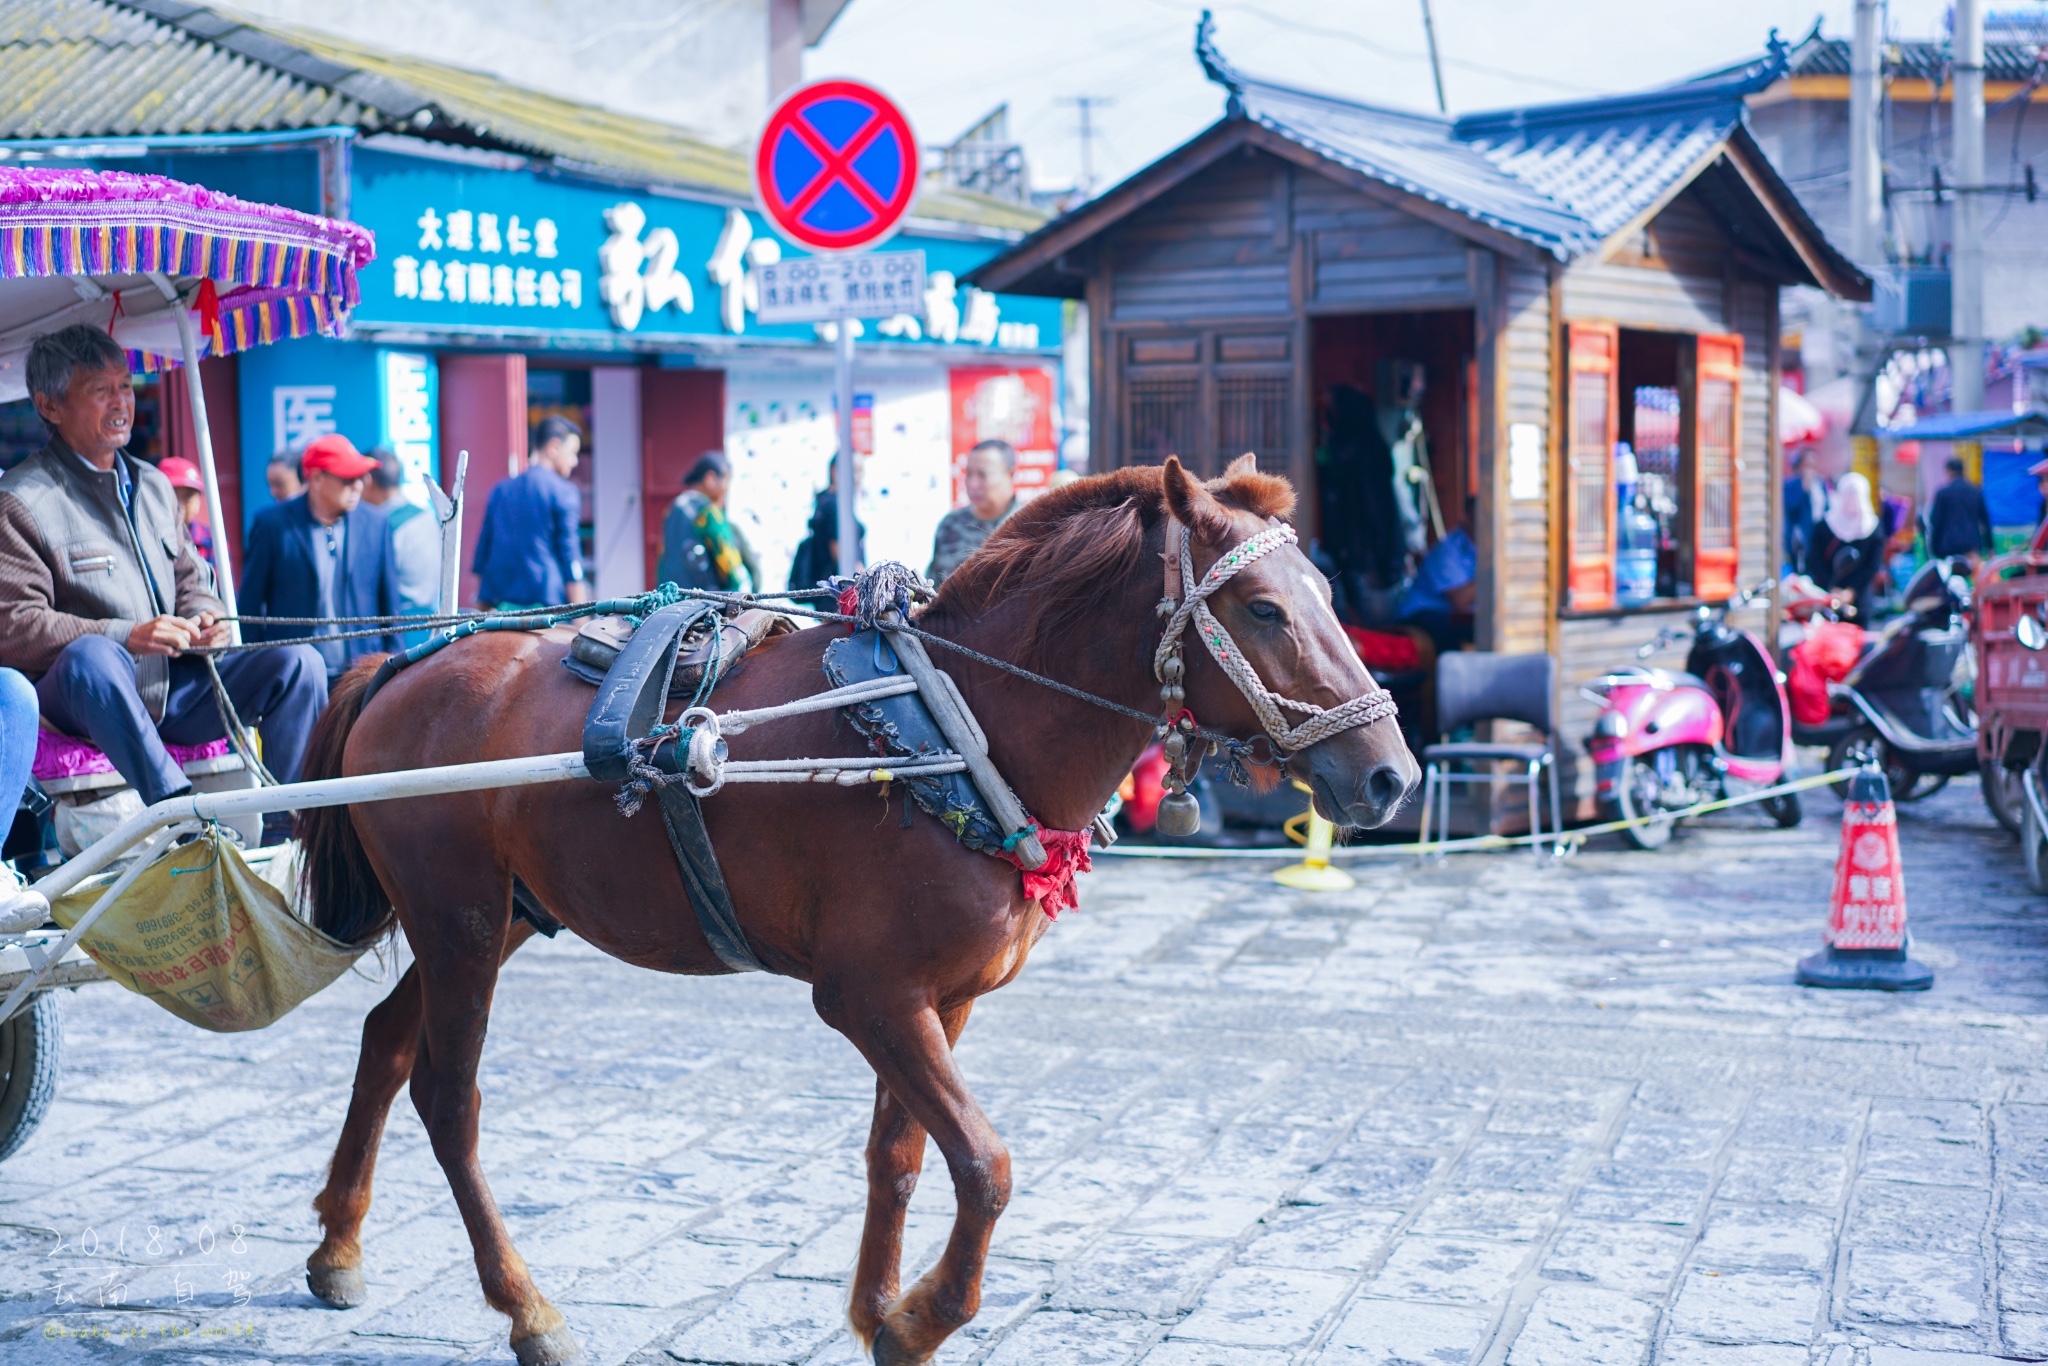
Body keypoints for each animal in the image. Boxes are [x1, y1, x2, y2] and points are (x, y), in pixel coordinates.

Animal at [296, 454, 1417, 1359]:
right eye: (1263, 610)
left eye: (1325, 594)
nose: (1393, 776)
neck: (961, 722)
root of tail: (400, 664)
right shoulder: (868, 995)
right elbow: (986, 1164)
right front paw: (924, 1318)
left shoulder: (940, 999)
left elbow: (903, 1156)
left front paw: (881, 1314)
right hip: (460, 917)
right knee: (448, 1098)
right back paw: (526, 1308)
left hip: (503, 916)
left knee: (385, 1040)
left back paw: (338, 1244)